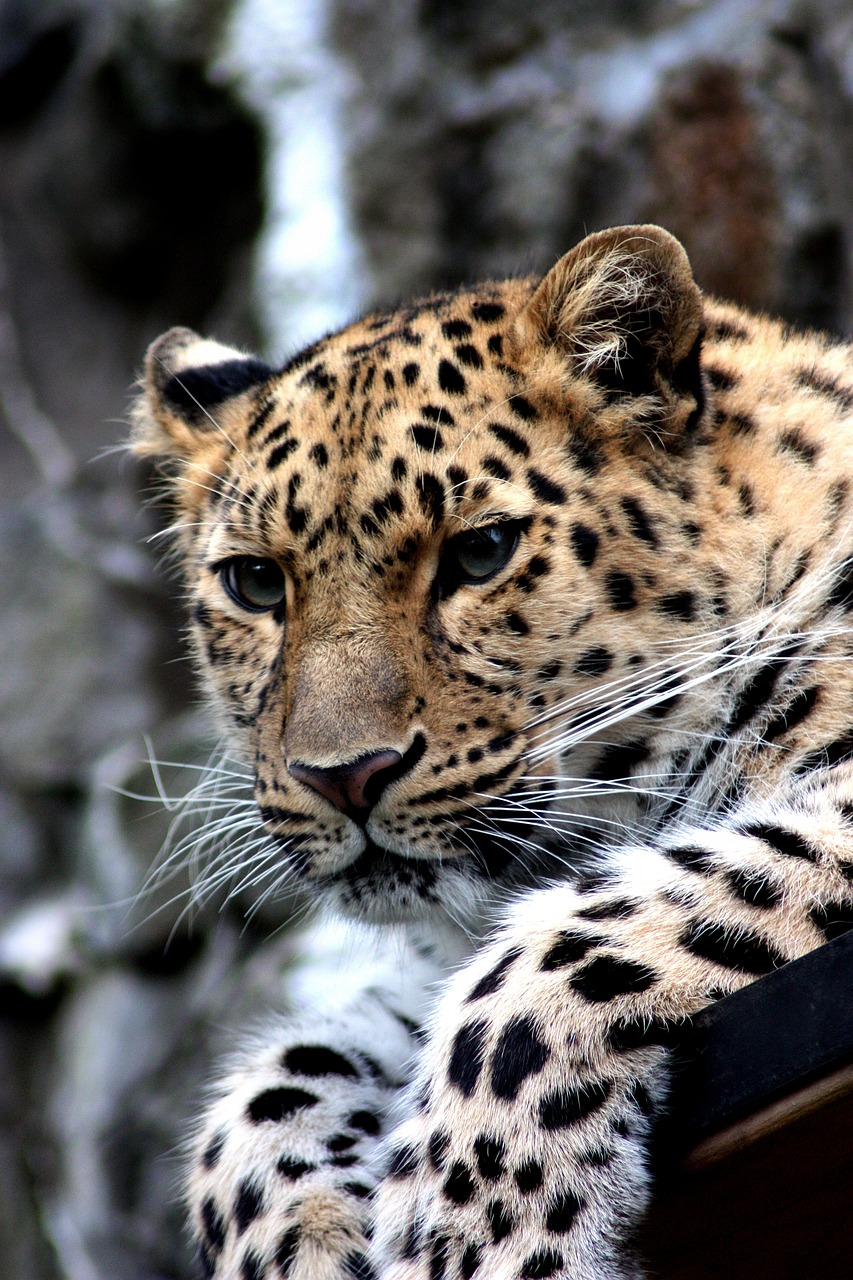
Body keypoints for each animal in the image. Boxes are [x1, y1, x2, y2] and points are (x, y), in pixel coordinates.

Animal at [129, 227, 850, 1280]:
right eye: (255, 583)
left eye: (480, 554)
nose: (341, 775)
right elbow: (271, 1086)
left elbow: (551, 957)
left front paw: (474, 1234)